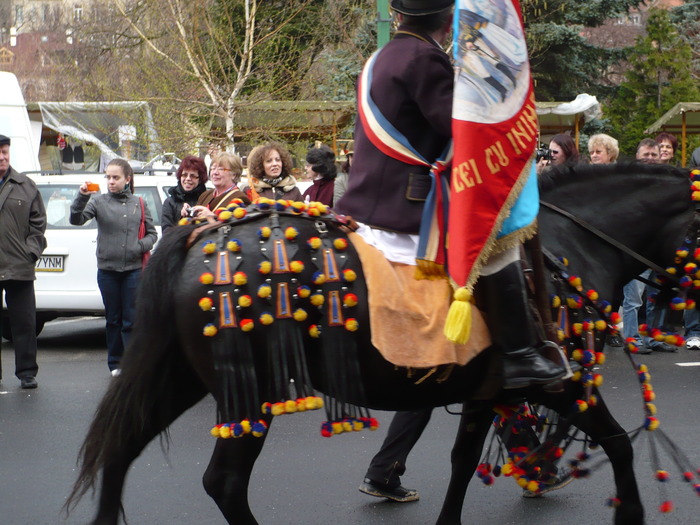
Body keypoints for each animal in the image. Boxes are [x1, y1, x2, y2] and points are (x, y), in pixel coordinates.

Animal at [67, 162, 696, 520]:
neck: (563, 250)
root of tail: (201, 232)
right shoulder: (560, 384)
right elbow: (616, 442)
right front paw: (629, 513)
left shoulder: (486, 392)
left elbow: (462, 463)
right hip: (249, 389)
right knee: (223, 482)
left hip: (185, 377)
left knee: (121, 449)